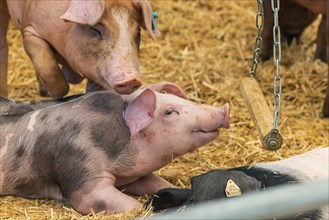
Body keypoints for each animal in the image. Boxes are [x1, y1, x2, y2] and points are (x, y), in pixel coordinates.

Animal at [0, 0, 159, 98]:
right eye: (96, 30)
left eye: (138, 33)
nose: (131, 80)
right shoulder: (30, 29)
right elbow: (49, 70)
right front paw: (58, 93)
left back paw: (44, 93)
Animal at [0, 82, 229, 213]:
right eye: (169, 112)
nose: (224, 109)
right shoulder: (78, 167)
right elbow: (97, 200)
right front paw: (142, 209)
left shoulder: (136, 175)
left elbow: (157, 183)